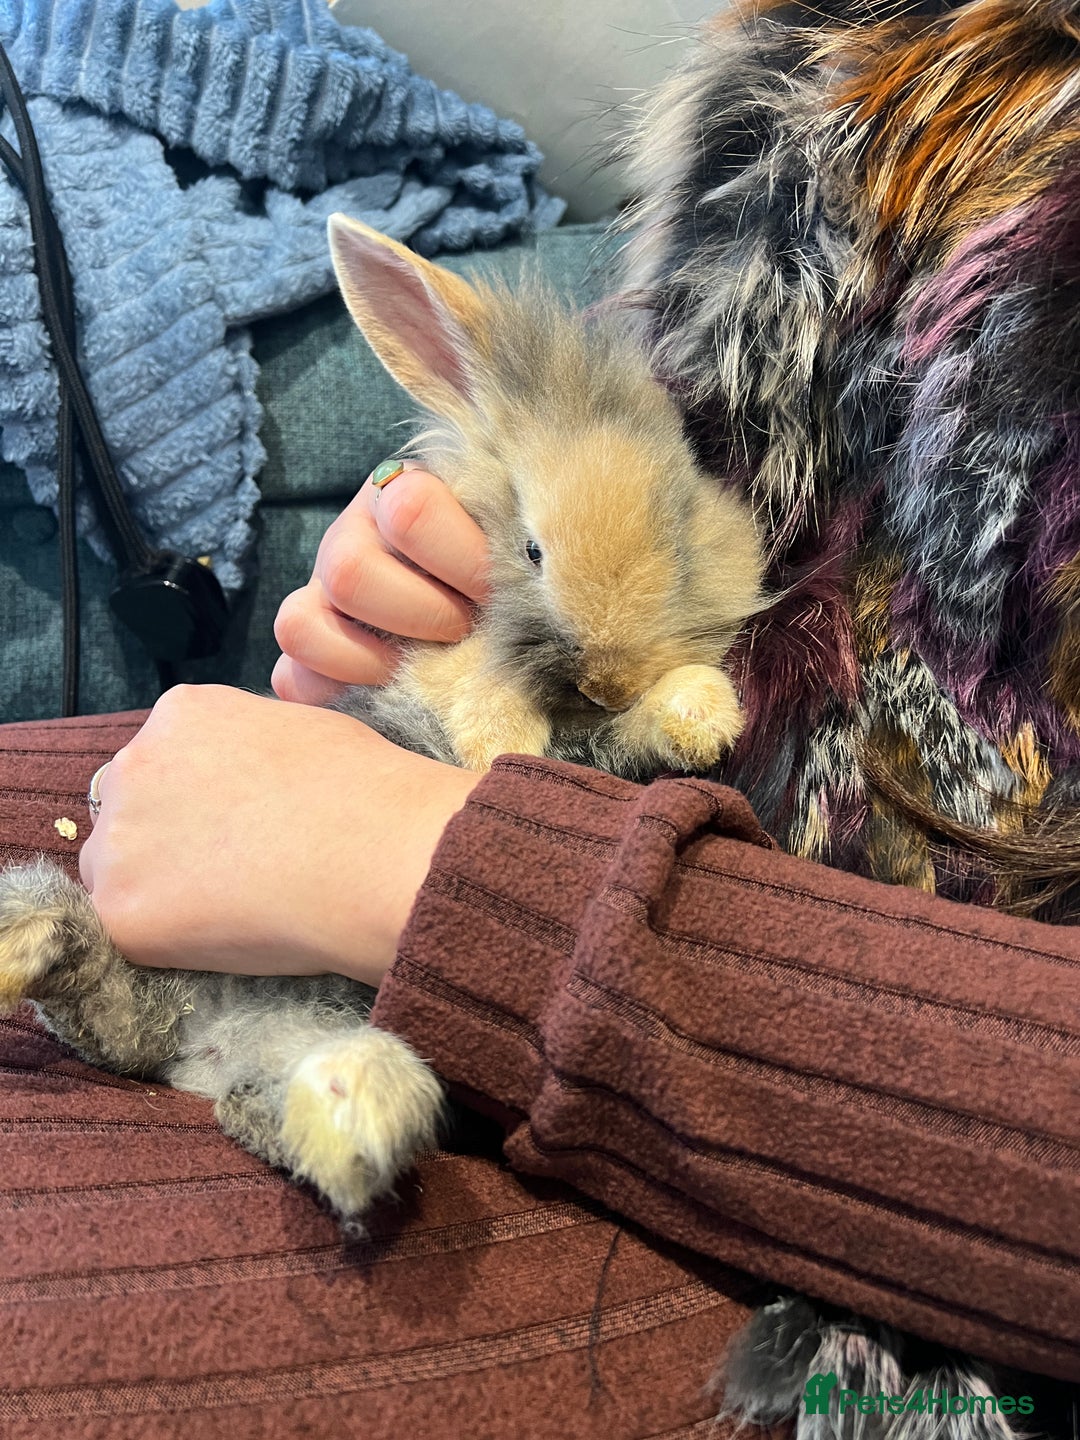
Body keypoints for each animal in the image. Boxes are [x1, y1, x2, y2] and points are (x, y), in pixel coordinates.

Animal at [0, 215, 764, 1225]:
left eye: (678, 533)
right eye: (531, 548)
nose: (606, 674)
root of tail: (210, 1052)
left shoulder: (601, 741)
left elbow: (630, 738)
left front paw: (700, 714)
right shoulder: (454, 663)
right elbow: (476, 688)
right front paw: (499, 745)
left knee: (160, 1042)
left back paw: (352, 1114)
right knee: (106, 1013)